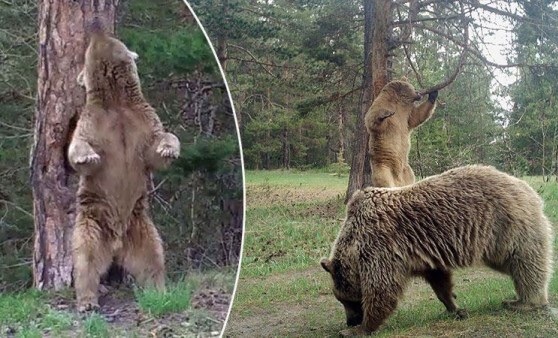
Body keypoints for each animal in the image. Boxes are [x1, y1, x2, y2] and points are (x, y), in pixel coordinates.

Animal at [67, 21, 180, 312]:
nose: (96, 25)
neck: (115, 98)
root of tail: (117, 243)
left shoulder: (141, 119)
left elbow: (157, 142)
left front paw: (168, 148)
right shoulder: (93, 121)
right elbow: (76, 146)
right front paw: (87, 158)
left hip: (141, 228)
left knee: (153, 258)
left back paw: (160, 291)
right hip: (92, 222)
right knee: (85, 260)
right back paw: (87, 301)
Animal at [324, 166, 556, 336]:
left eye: (346, 300)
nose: (350, 321)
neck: (354, 241)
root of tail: (527, 188)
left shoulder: (381, 246)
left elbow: (383, 289)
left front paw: (360, 329)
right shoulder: (423, 257)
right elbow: (440, 280)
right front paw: (455, 306)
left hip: (506, 225)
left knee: (526, 264)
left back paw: (525, 302)